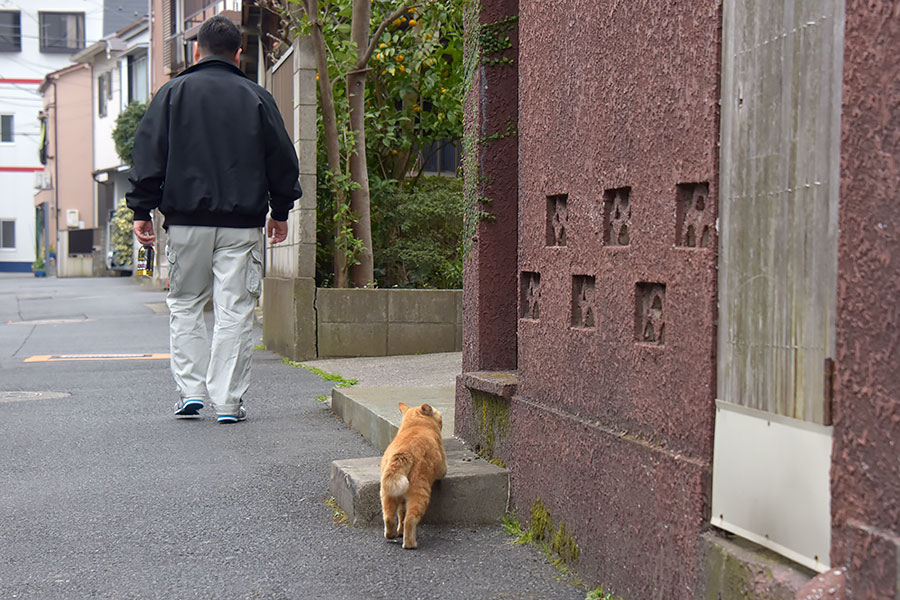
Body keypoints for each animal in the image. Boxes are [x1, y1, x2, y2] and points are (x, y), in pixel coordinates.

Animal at [380, 404, 446, 548]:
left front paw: (399, 531)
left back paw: (391, 534)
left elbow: (401, 514)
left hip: (387, 493)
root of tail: (403, 453)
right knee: (410, 519)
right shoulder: (443, 466)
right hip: (420, 493)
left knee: (389, 517)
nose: (442, 422)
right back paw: (410, 544)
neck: (416, 425)